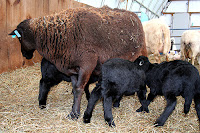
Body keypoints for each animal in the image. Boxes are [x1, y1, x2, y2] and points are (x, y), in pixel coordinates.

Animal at [8, 5, 147, 119]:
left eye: (19, 38)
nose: (25, 55)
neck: (58, 34)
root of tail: (135, 15)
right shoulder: (73, 69)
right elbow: (75, 89)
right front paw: (74, 110)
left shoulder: (87, 65)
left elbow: (80, 88)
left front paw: (74, 114)